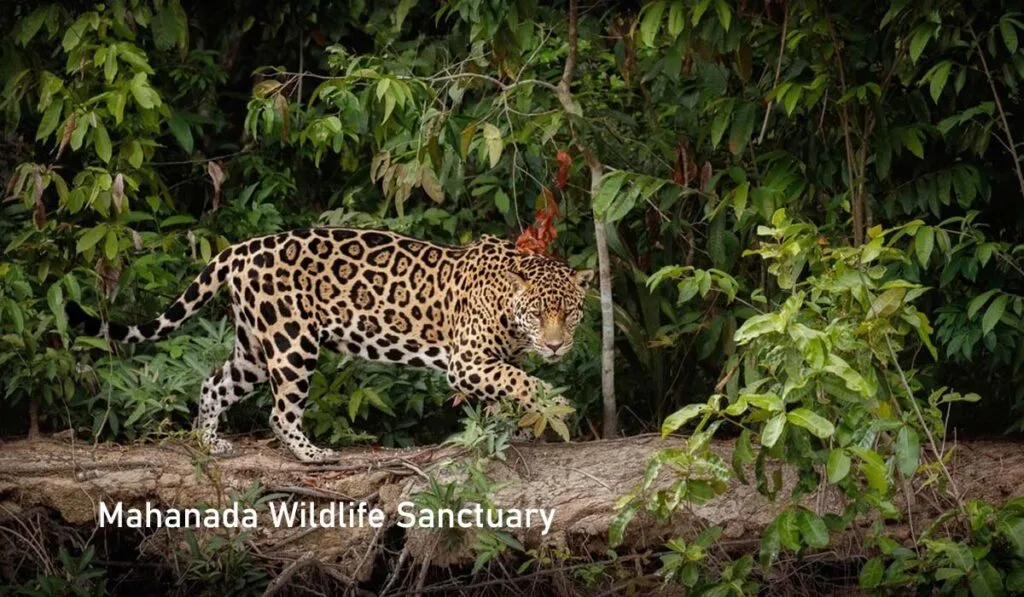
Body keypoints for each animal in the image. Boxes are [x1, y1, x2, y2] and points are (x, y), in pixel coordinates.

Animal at [68, 228, 594, 462]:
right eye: (538, 313)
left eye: (569, 313)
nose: (554, 347)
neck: (508, 306)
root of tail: (238, 248)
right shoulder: (467, 360)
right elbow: (519, 380)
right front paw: (555, 405)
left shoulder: (489, 362)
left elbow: (504, 389)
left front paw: (515, 428)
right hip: (292, 342)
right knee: (279, 412)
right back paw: (313, 454)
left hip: (253, 348)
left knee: (213, 384)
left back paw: (211, 441)